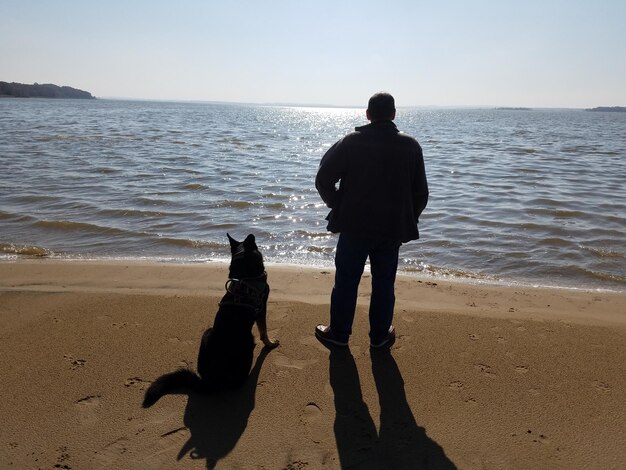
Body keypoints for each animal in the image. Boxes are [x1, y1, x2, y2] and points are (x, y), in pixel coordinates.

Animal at [143, 235, 280, 408]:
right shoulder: (262, 310)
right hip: (248, 342)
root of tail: (208, 382)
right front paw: (270, 343)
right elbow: (264, 331)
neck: (245, 276)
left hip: (207, 332)